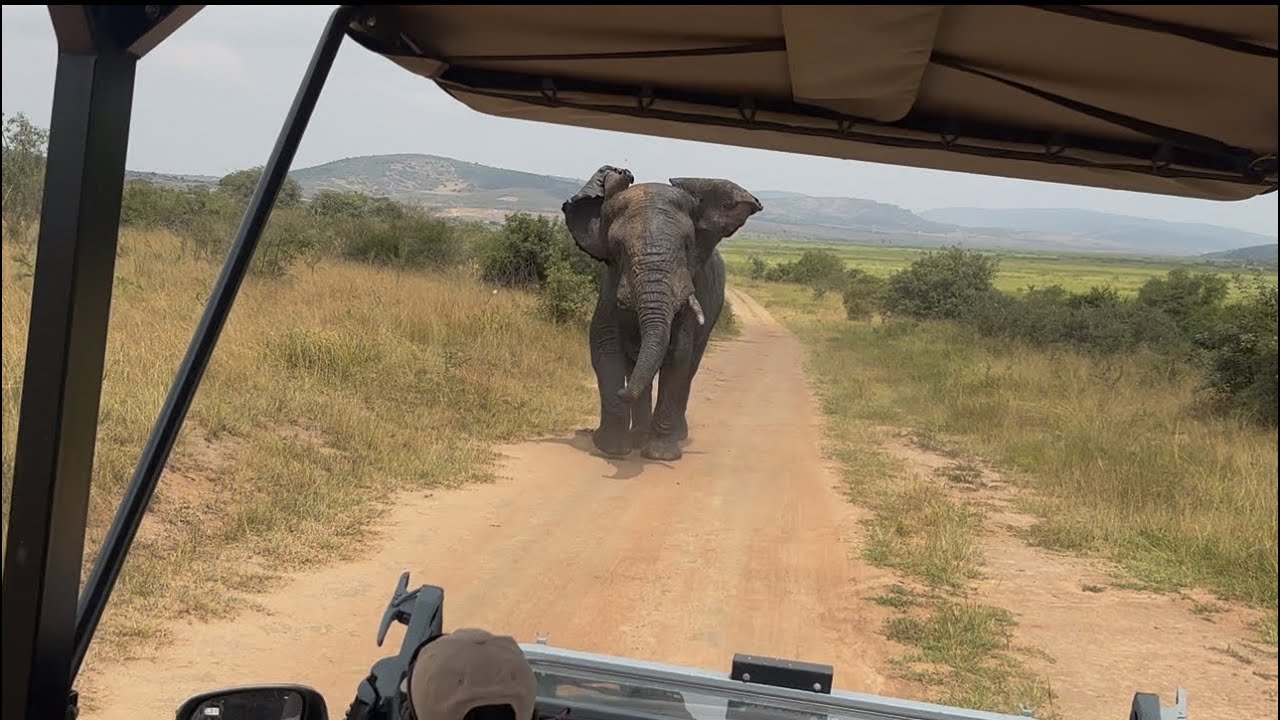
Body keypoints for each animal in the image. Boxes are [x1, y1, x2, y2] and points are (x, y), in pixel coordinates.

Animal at [562, 165, 763, 461]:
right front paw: (612, 449)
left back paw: (674, 435)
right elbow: (605, 346)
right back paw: (638, 436)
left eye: (688, 245)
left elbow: (678, 354)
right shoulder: (609, 286)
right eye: (617, 249)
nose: (623, 392)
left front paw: (661, 454)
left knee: (691, 364)